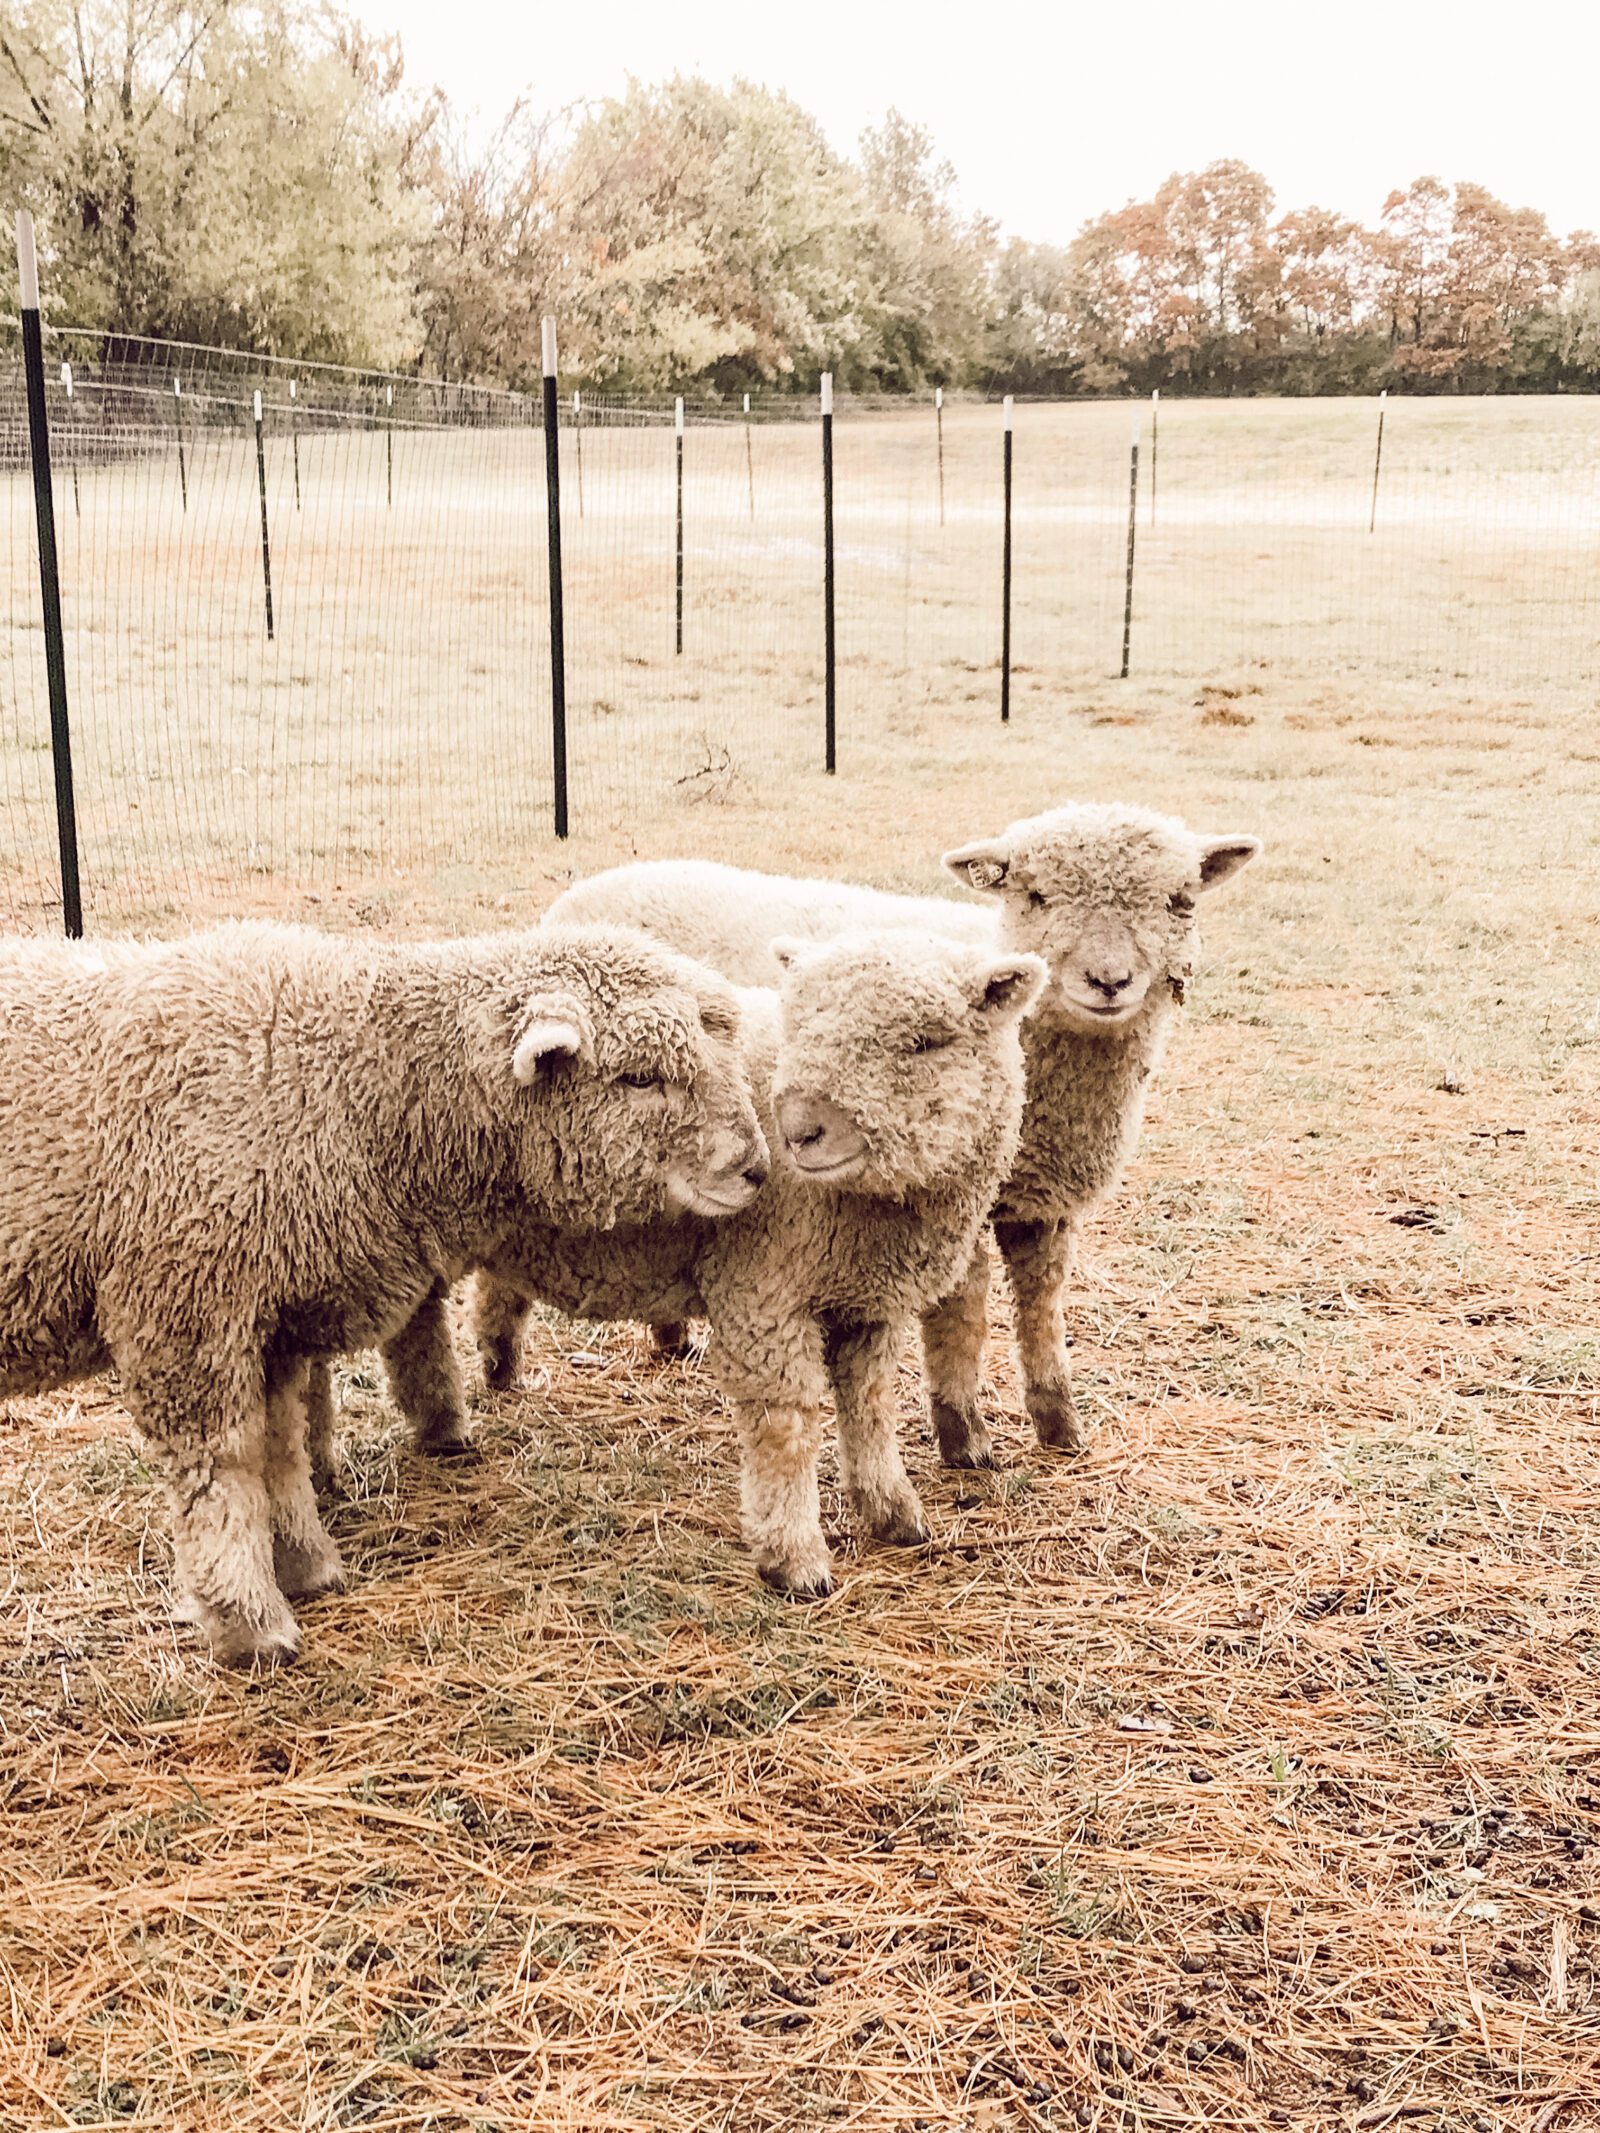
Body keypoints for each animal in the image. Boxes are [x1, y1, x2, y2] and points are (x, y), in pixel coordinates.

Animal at [0, 921, 768, 1663]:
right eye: (639, 1077)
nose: (756, 1167)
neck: (356, 1075)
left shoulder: (271, 1319)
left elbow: (280, 1445)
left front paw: (305, 1563)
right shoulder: (184, 1304)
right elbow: (220, 1468)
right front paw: (249, 1621)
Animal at [356, 934, 1045, 1604]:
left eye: (925, 1042)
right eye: (796, 1025)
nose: (798, 1131)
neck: (876, 1209)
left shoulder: (865, 1302)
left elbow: (871, 1407)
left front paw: (892, 1511)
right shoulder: (763, 1291)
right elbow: (784, 1429)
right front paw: (795, 1559)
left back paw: (473, 1393)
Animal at [546, 802, 1262, 1467]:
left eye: (1179, 901)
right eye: (1035, 896)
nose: (1108, 982)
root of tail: (592, 889)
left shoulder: (1042, 1201)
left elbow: (1042, 1306)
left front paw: (1059, 1423)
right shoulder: (955, 1199)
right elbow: (961, 1316)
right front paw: (964, 1434)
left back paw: (672, 1335)